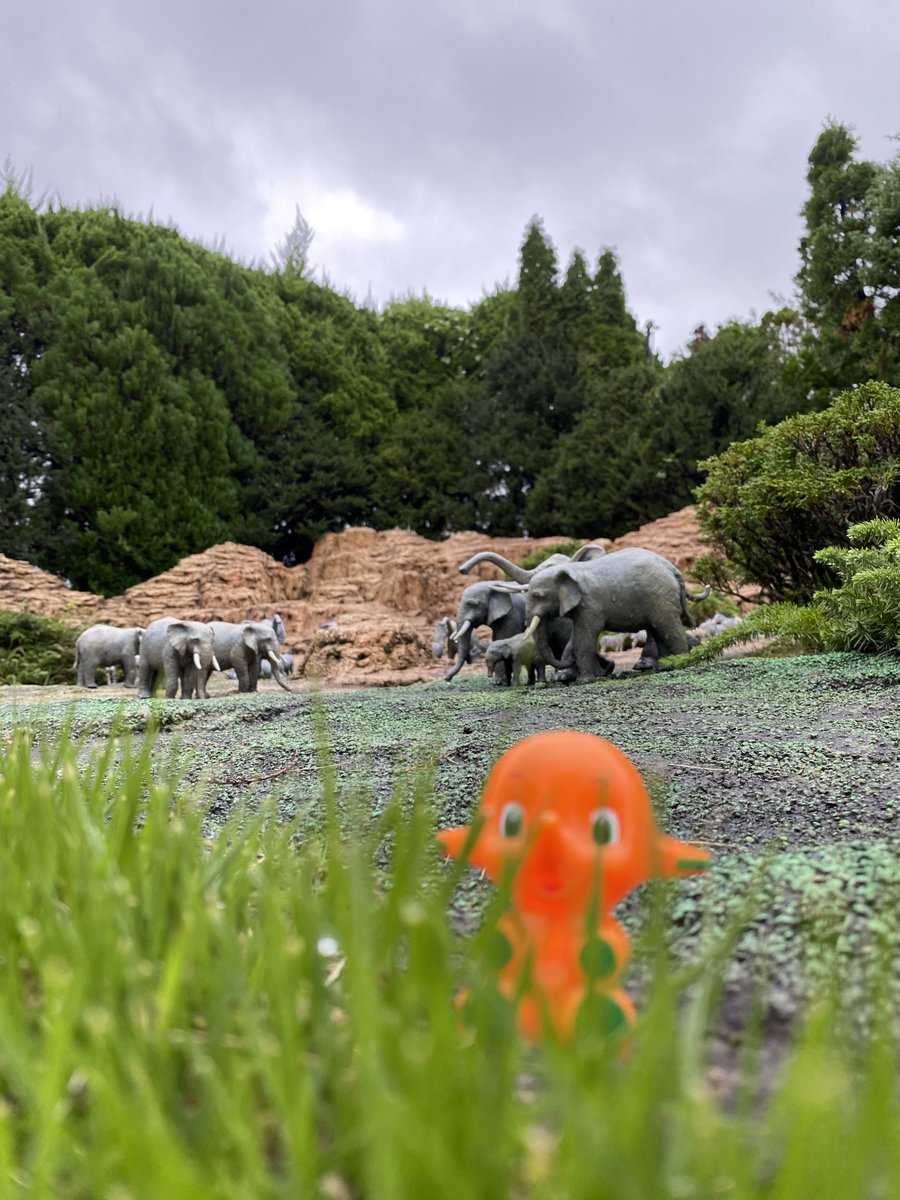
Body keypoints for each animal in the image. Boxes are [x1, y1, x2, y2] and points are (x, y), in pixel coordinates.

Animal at [486, 548, 708, 684]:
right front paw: (573, 677)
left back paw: (678, 664)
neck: (571, 571)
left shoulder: (590, 605)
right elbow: (575, 637)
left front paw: (583, 680)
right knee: (658, 629)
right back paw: (664, 666)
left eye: (539, 595)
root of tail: (674, 570)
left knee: (667, 627)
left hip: (659, 596)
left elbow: (585, 637)